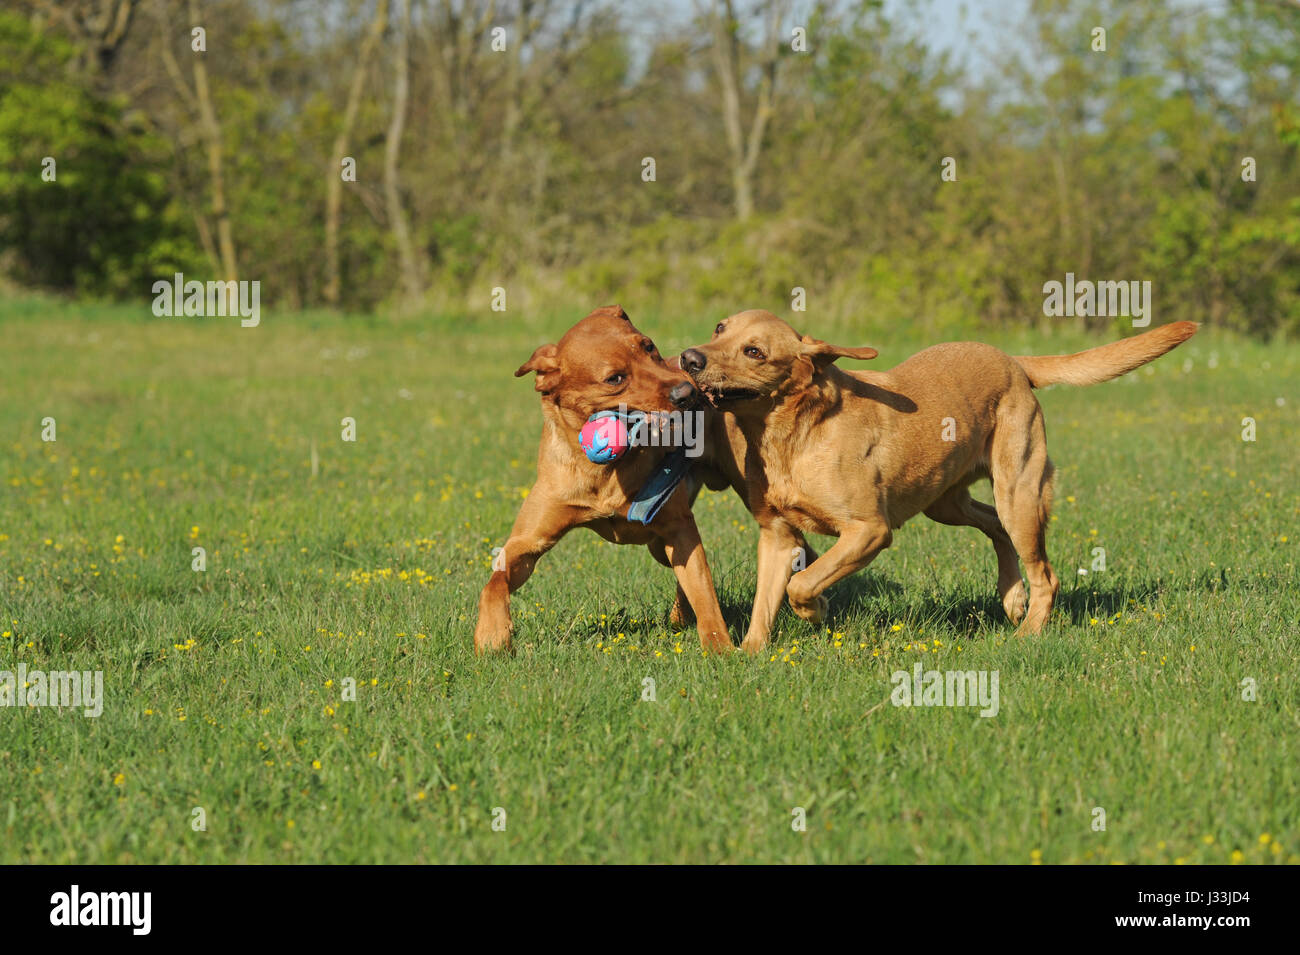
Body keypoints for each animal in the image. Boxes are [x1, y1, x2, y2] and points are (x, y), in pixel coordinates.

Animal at [681, 310, 1196, 654]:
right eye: (720, 328)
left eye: (755, 352)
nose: (688, 358)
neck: (794, 434)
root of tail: (1015, 361)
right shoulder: (777, 535)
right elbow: (764, 604)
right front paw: (749, 655)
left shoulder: (869, 531)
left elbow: (801, 584)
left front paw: (816, 610)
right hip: (947, 502)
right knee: (995, 529)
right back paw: (1012, 597)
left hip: (1019, 492)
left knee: (1045, 573)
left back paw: (1028, 631)